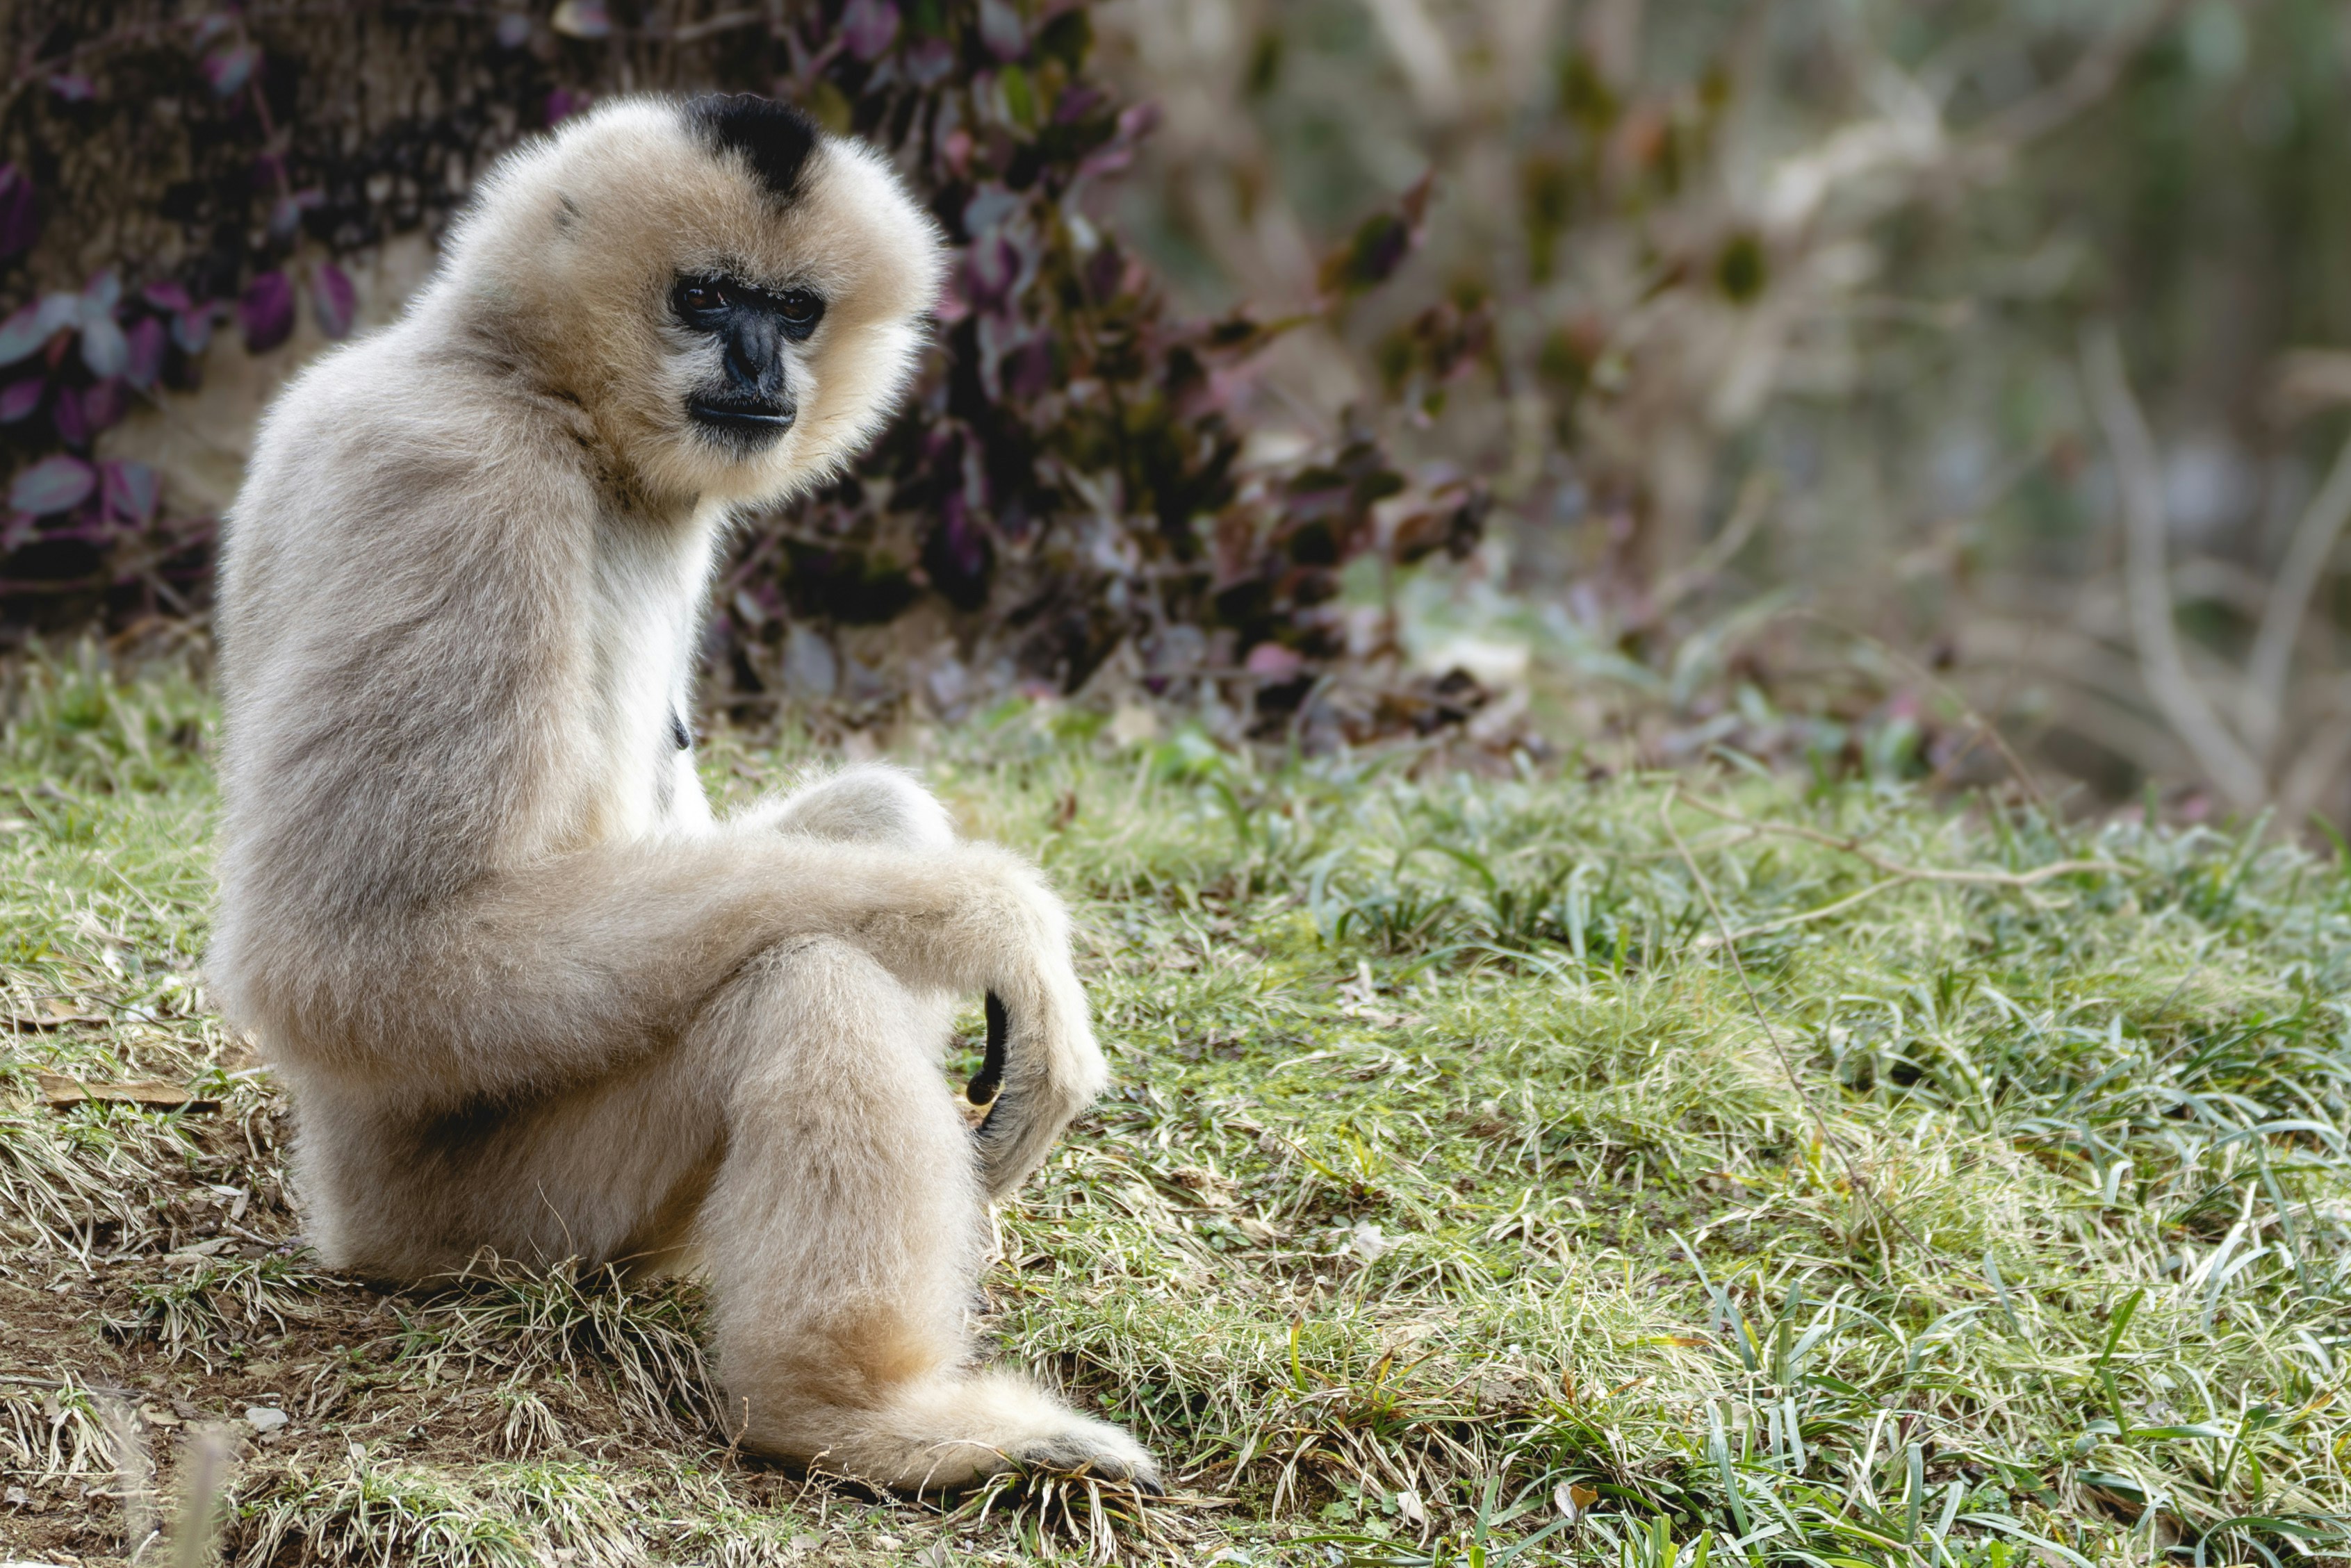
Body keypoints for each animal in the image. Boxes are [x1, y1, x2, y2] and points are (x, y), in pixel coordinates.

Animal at [206, 94, 1159, 1493]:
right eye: (706, 298)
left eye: (795, 309)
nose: (760, 366)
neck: (516, 377)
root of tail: (342, 1208)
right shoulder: (454, 489)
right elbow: (354, 954)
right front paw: (997, 925)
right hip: (487, 1210)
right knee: (805, 976)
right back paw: (855, 1415)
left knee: (864, 836)